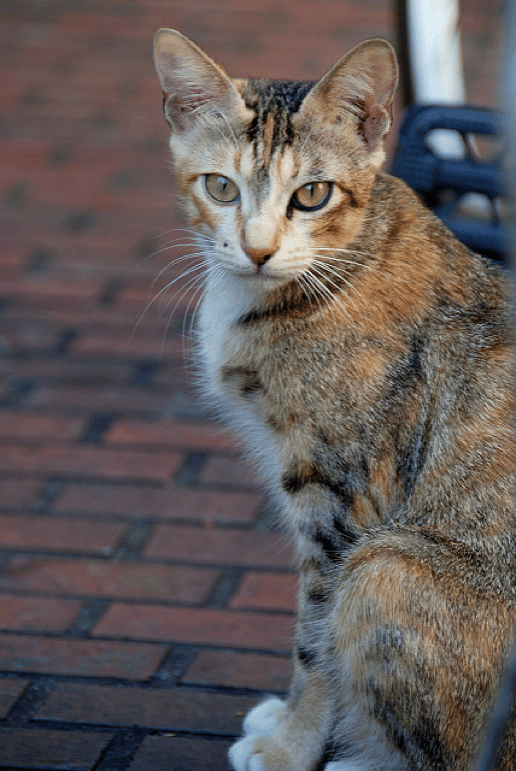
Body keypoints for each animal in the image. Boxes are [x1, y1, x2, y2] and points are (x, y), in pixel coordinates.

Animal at [151, 30, 512, 771]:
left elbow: (316, 636)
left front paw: (293, 741)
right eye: (221, 186)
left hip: (385, 565)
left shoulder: (341, 499)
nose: (257, 251)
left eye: (312, 194)